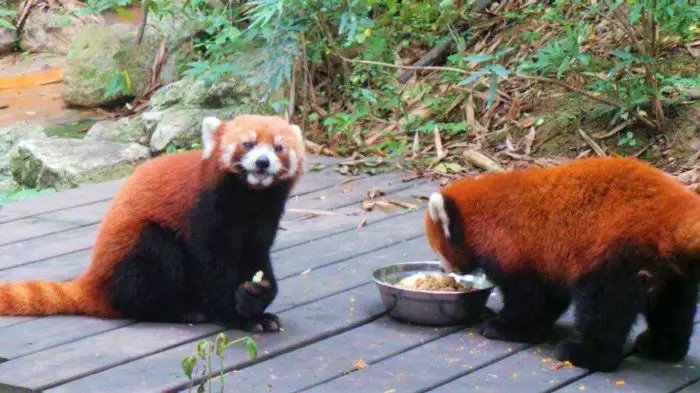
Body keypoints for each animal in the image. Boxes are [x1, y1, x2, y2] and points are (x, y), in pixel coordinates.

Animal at [0, 113, 306, 330]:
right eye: (248, 144)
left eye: (279, 147)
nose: (263, 162)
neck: (249, 199)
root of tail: (94, 280)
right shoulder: (207, 212)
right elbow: (212, 267)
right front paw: (235, 316)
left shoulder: (263, 219)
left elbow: (256, 258)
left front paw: (256, 301)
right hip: (136, 252)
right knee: (154, 258)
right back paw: (179, 311)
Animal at [422, 156, 700, 370]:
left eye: (439, 251)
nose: (444, 269)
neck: (490, 217)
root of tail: (673, 210)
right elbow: (548, 300)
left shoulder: (522, 251)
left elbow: (531, 301)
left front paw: (504, 327)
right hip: (673, 270)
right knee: (674, 309)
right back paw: (663, 348)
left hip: (616, 255)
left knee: (604, 309)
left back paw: (587, 355)